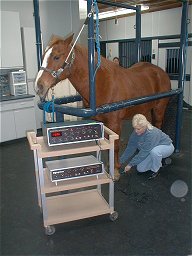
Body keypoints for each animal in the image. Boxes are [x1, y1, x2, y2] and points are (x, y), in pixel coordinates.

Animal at [35, 34, 171, 180]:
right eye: (43, 56)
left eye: (56, 57)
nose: (38, 86)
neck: (102, 85)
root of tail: (160, 72)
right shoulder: (99, 121)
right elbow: (104, 144)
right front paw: (106, 166)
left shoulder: (115, 123)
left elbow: (115, 145)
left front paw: (115, 171)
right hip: (145, 109)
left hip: (159, 109)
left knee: (158, 126)